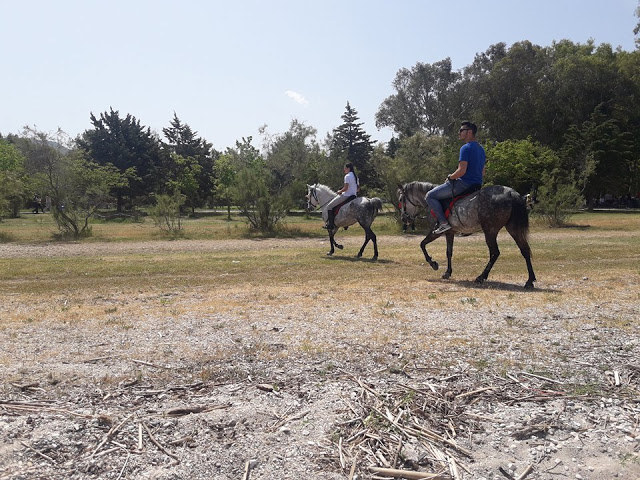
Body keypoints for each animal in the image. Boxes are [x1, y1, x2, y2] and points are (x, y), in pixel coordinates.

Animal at [400, 182, 536, 288]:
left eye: (401, 199)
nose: (404, 219)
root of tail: (511, 193)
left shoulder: (437, 232)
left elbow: (422, 244)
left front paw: (433, 264)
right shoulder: (450, 233)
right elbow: (449, 252)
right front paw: (447, 272)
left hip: (490, 231)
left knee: (495, 253)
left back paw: (481, 277)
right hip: (513, 229)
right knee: (525, 250)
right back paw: (530, 280)